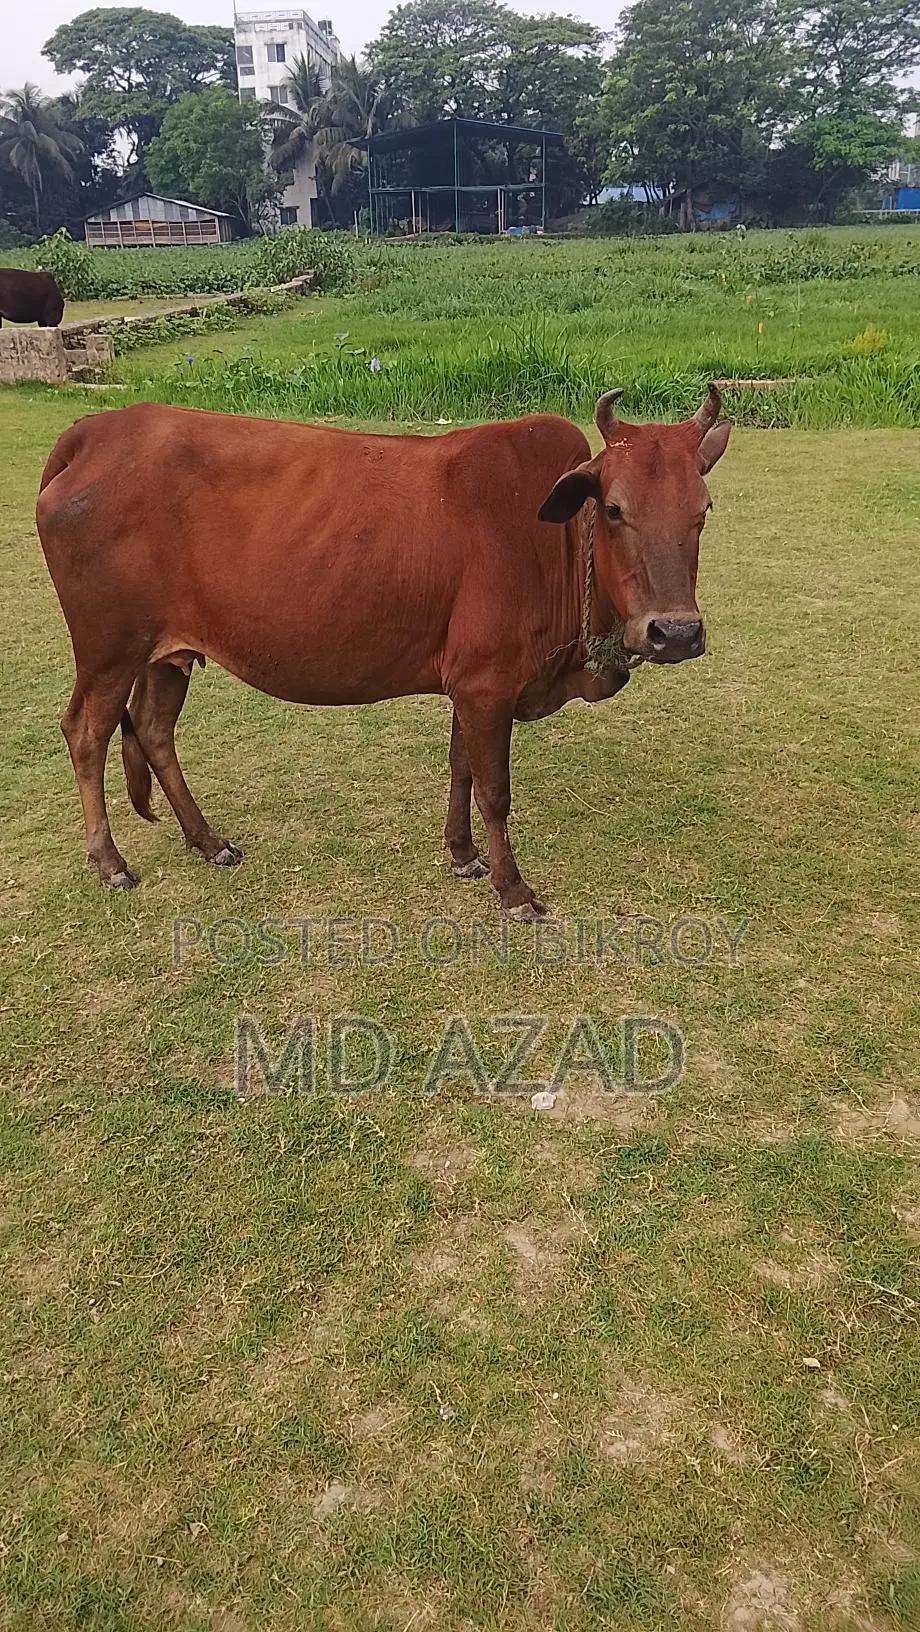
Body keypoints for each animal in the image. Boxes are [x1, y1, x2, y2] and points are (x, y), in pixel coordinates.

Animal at [36, 389, 730, 917]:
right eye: (613, 509)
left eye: (703, 509)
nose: (675, 632)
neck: (550, 540)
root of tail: (93, 432)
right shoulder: (488, 685)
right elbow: (495, 790)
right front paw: (512, 889)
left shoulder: (470, 684)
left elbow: (461, 768)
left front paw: (463, 855)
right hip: (107, 652)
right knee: (86, 733)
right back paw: (109, 861)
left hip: (164, 655)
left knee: (154, 732)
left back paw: (208, 842)